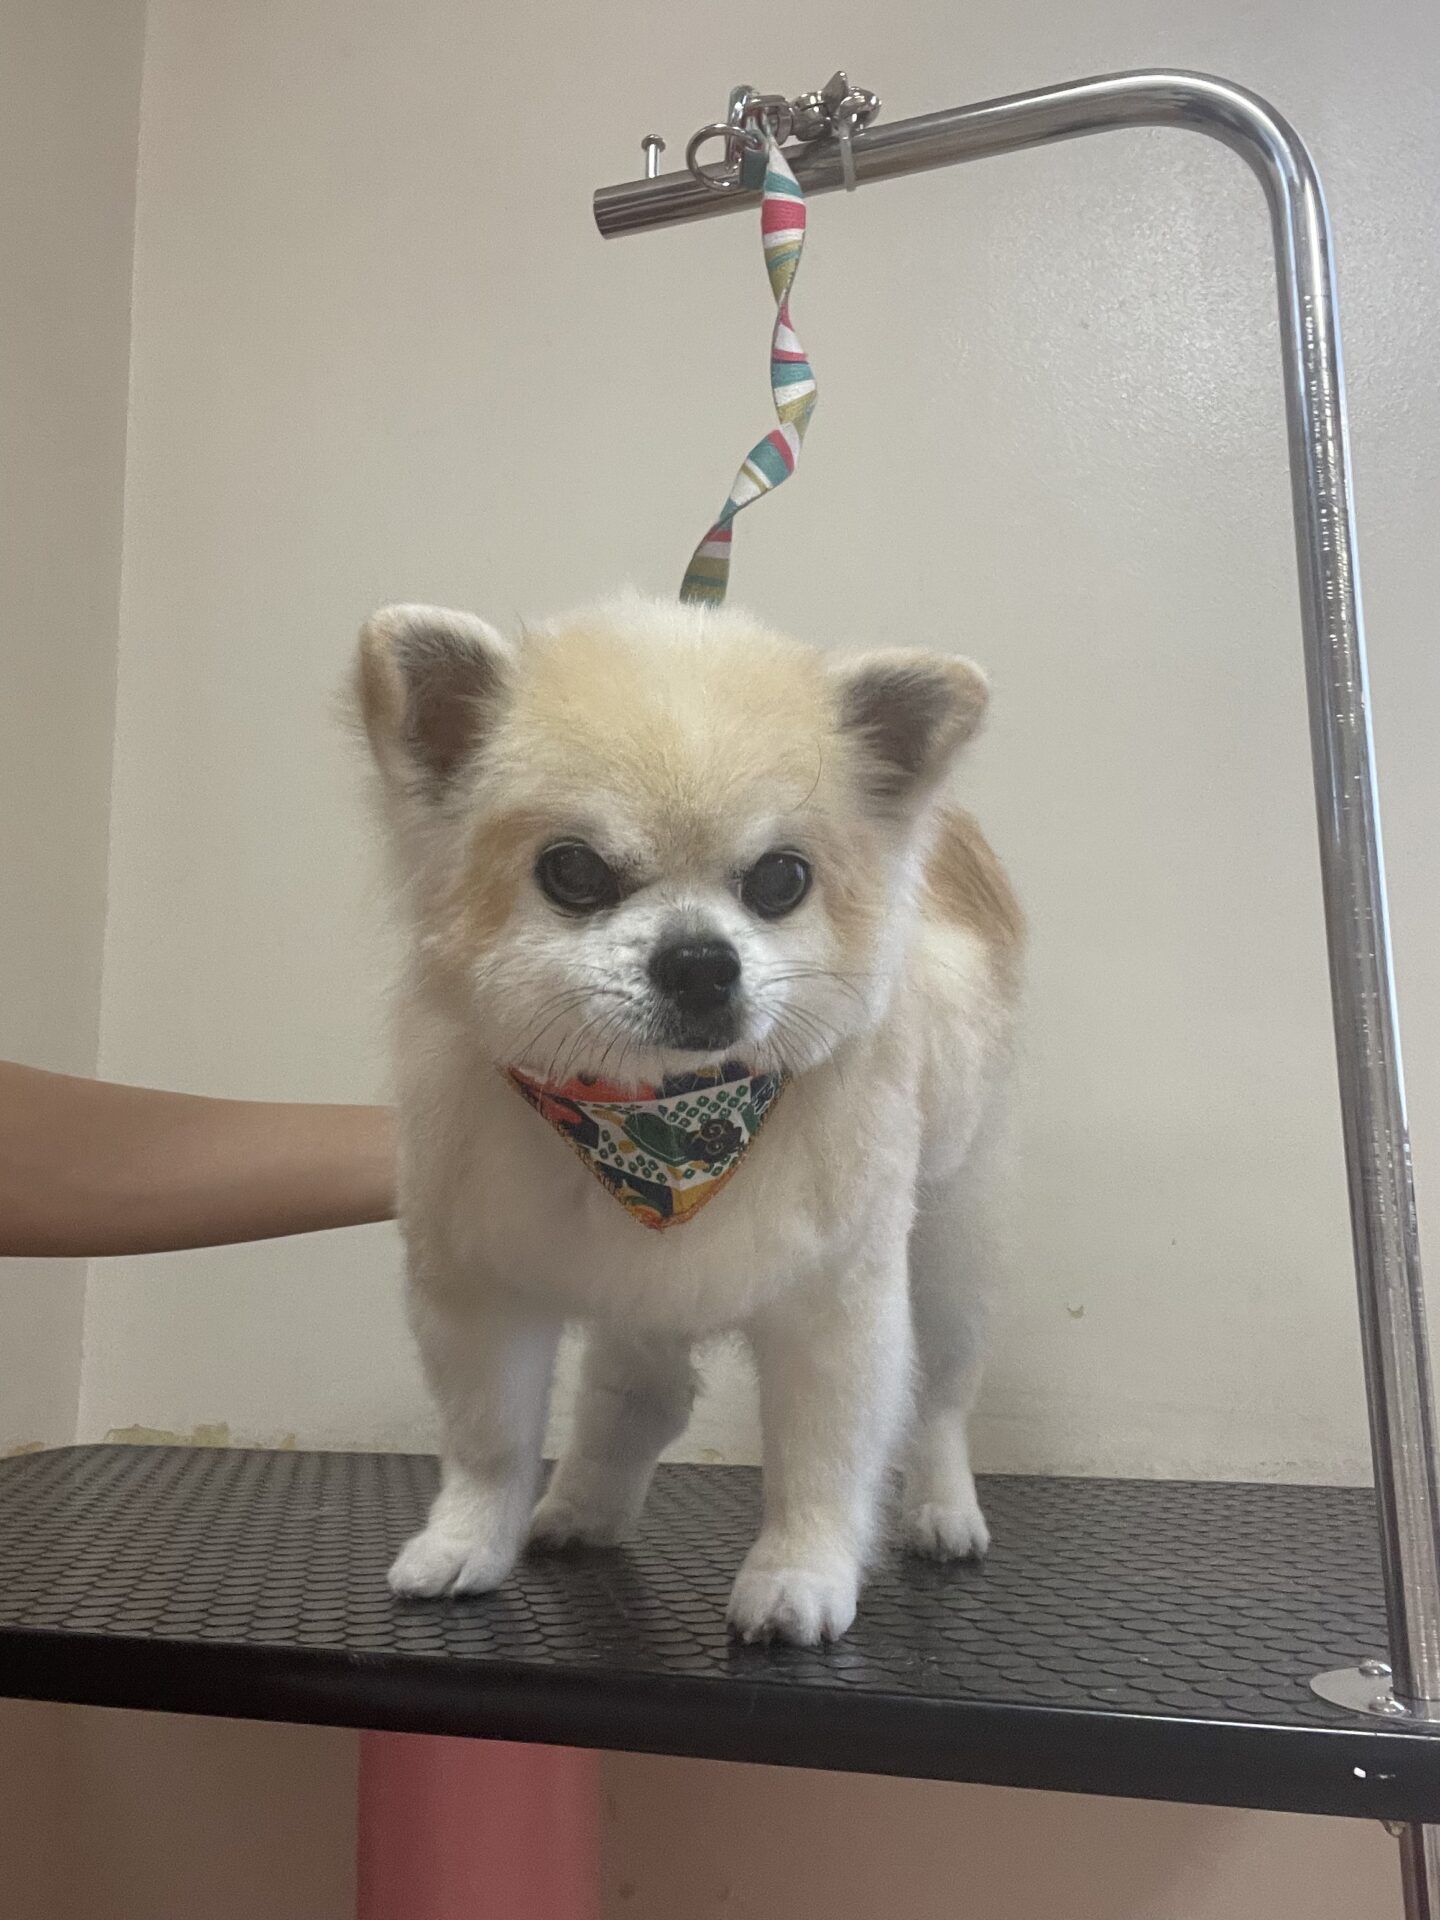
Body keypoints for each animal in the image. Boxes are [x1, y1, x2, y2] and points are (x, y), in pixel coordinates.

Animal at [355, 592, 1022, 1645]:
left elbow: (824, 1457)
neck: (658, 1119)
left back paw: (943, 1507)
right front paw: (467, 1543)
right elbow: (490, 1440)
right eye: (574, 871)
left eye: (781, 880)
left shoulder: (836, 1302)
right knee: (643, 1394)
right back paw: (584, 1505)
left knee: (943, 1393)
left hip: (954, 1232)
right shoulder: (480, 1287)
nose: (702, 961)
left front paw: (800, 1575)